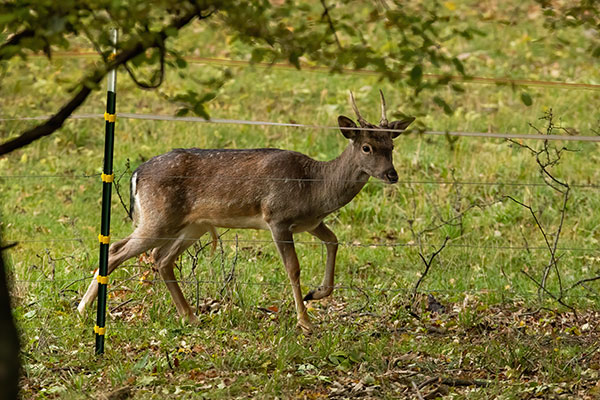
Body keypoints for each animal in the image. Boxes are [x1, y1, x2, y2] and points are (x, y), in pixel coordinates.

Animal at [77, 91, 414, 334]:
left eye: (391, 146)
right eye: (367, 147)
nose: (392, 174)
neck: (316, 187)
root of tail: (137, 174)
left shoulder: (310, 222)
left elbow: (333, 242)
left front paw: (316, 294)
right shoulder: (277, 216)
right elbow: (293, 268)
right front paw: (305, 322)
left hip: (192, 225)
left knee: (161, 259)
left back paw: (190, 317)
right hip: (157, 218)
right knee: (117, 250)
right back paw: (83, 311)